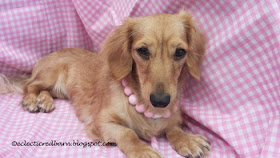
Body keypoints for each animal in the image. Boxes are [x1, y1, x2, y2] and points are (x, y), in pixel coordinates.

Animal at [0, 10, 210, 157]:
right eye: (142, 51)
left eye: (180, 52)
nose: (160, 101)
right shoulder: (101, 123)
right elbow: (128, 133)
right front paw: (142, 150)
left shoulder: (171, 120)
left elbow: (173, 128)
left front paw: (187, 139)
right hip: (48, 75)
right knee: (30, 86)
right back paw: (32, 100)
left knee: (44, 91)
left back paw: (45, 101)